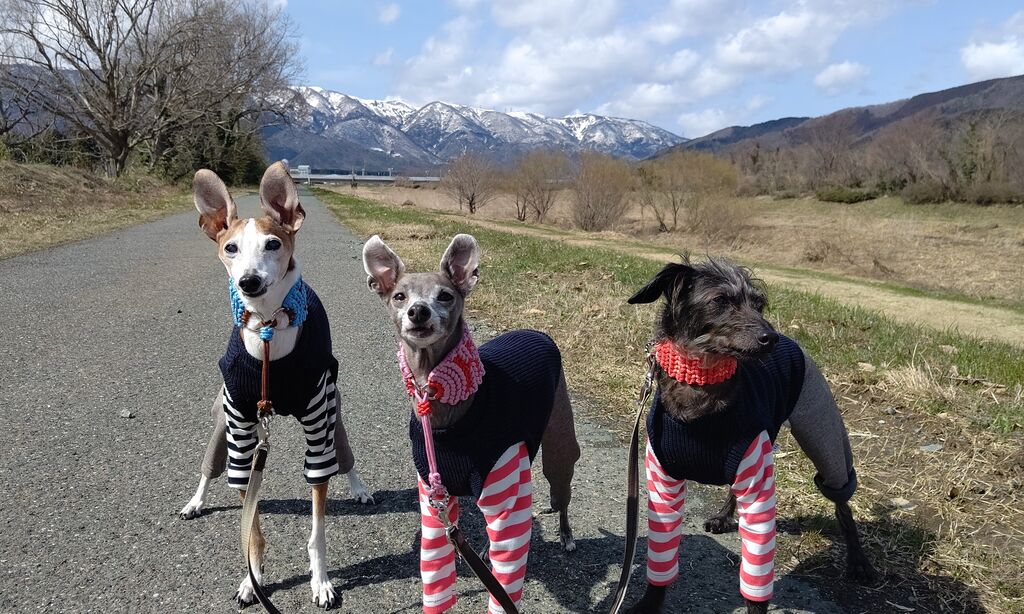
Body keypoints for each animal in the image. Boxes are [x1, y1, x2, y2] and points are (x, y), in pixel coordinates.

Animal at [180, 162, 372, 608]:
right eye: (231, 247)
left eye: (272, 244)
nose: (249, 282)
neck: (269, 329)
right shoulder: (241, 426)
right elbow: (251, 523)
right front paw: (252, 579)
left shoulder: (318, 420)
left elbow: (318, 525)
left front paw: (321, 581)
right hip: (223, 416)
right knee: (210, 464)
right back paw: (196, 500)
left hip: (332, 405)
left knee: (344, 453)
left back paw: (358, 487)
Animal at [362, 233, 581, 614]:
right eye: (399, 296)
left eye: (445, 295)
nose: (418, 311)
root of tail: (536, 331)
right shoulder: (434, 508)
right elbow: (437, 577)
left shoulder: (507, 503)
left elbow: (504, 587)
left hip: (559, 450)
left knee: (561, 496)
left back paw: (566, 535)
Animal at [625, 256, 876, 614]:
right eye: (720, 301)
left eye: (758, 304)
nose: (770, 337)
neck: (701, 383)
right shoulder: (663, 487)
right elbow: (661, 559)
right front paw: (649, 603)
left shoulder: (758, 491)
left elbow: (755, 578)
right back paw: (724, 516)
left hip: (824, 440)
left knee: (843, 502)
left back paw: (858, 562)